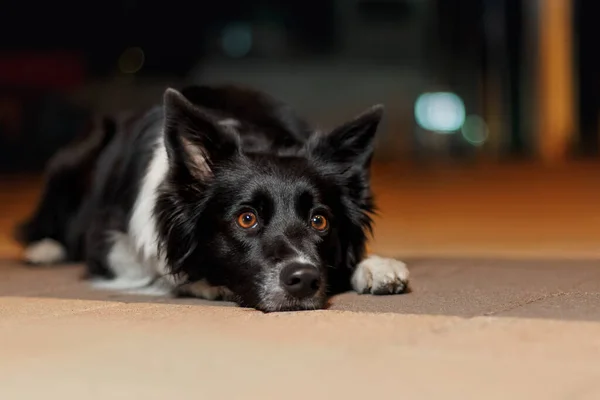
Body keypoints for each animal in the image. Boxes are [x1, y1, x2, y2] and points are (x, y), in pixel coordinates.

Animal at [15, 85, 408, 312]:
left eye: (319, 220)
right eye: (246, 218)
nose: (305, 279)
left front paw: (375, 265)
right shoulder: (108, 245)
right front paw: (207, 284)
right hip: (71, 160)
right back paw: (44, 249)